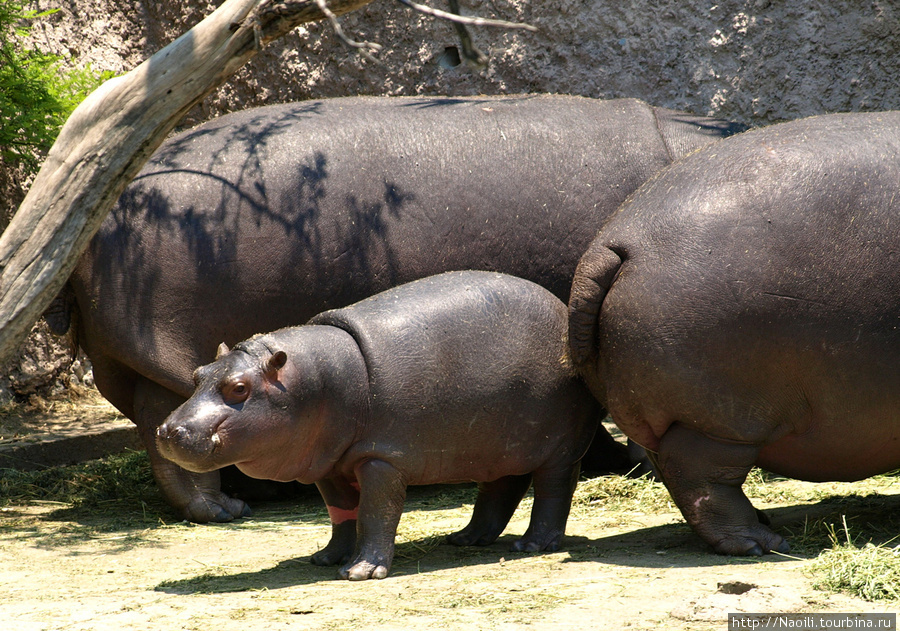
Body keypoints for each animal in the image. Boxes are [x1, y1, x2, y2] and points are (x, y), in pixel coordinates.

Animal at [158, 270, 600, 580]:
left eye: (238, 387)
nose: (166, 431)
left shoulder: (382, 458)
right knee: (500, 487)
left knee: (553, 491)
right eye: (198, 374)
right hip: (499, 443)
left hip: (560, 448)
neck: (315, 380)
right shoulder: (330, 464)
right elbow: (340, 514)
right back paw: (466, 539)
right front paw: (325, 558)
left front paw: (359, 572)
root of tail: (561, 308)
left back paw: (533, 545)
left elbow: (376, 512)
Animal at [572, 111, 900, 556]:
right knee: (700, 476)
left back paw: (760, 524)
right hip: (724, 420)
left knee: (672, 468)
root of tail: (614, 241)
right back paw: (759, 542)